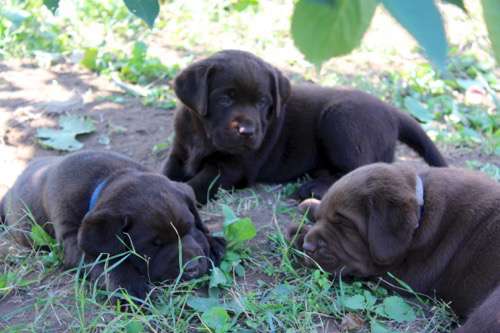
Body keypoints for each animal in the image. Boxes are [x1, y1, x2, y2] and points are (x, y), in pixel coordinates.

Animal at [0, 150, 225, 298]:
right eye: (154, 245)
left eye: (189, 228)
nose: (193, 268)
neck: (107, 178)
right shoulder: (73, 240)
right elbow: (104, 262)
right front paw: (130, 287)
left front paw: (213, 243)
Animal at [162, 49, 448, 204]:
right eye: (225, 99)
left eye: (263, 102)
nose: (247, 132)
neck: (202, 135)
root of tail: (391, 111)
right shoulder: (180, 152)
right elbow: (165, 174)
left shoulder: (233, 166)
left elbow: (198, 183)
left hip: (340, 118)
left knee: (363, 171)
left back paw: (314, 188)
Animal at [290, 162, 500, 330]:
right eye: (322, 217)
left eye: (345, 224)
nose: (308, 246)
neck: (422, 209)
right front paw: (311, 205)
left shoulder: (400, 275)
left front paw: (297, 235)